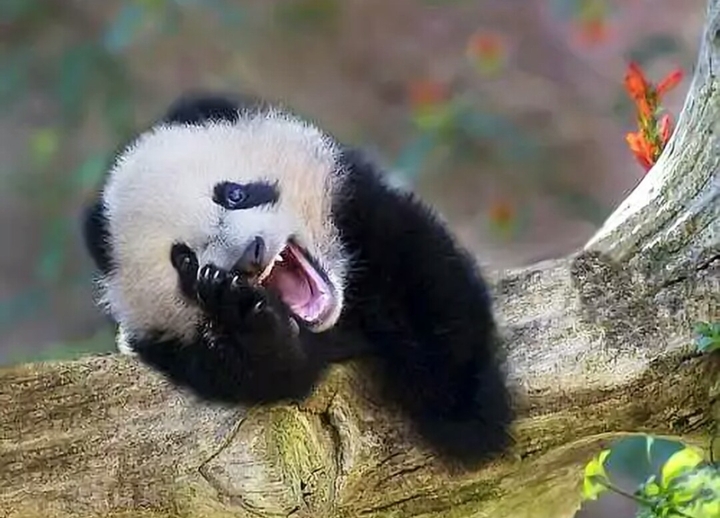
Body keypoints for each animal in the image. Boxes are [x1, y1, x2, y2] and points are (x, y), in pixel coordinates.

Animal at [81, 92, 514, 468]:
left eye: (234, 194)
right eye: (184, 260)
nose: (249, 255)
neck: (338, 318)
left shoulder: (359, 211)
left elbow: (424, 280)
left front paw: (466, 412)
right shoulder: (171, 348)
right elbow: (268, 377)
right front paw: (247, 322)